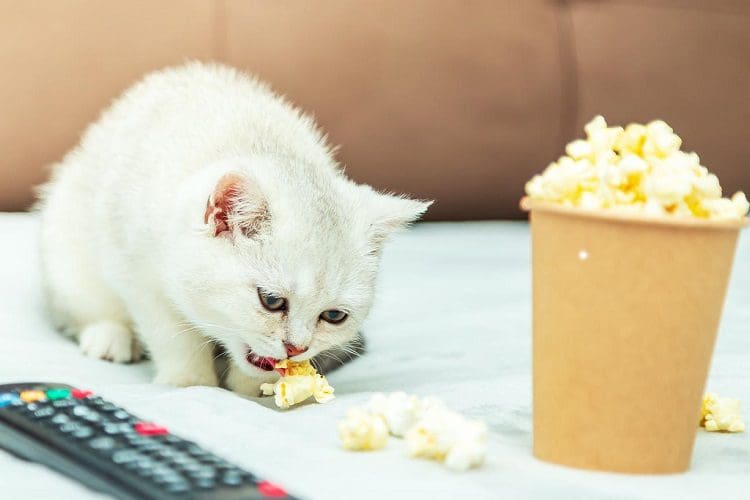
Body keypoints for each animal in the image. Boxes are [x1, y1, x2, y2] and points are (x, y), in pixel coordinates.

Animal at [38, 62, 432, 392]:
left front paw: (254, 393)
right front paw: (190, 384)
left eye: (334, 316)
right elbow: (172, 334)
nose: (297, 347)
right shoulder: (135, 266)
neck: (259, 145)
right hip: (67, 241)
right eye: (271, 301)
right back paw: (109, 336)